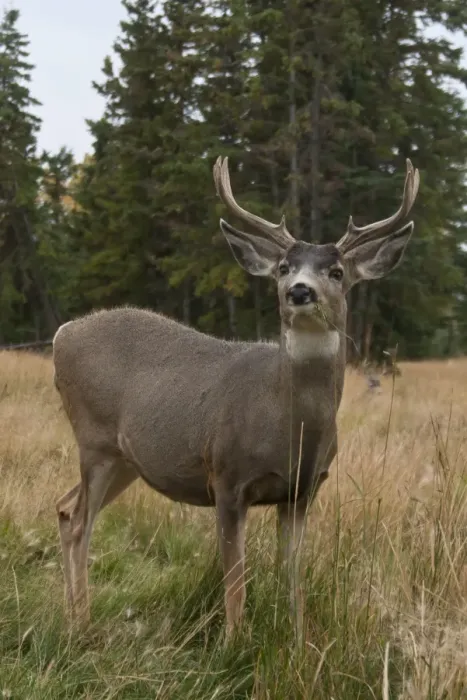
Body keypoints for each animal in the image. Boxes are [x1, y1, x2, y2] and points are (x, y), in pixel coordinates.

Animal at [53, 156, 419, 641]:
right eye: (283, 267)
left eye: (337, 272)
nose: (299, 291)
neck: (289, 429)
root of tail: (61, 335)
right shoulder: (226, 478)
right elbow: (236, 581)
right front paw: (233, 643)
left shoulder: (304, 490)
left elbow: (292, 578)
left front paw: (297, 641)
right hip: (93, 439)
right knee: (79, 522)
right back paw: (82, 624)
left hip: (125, 458)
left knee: (64, 508)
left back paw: (74, 617)